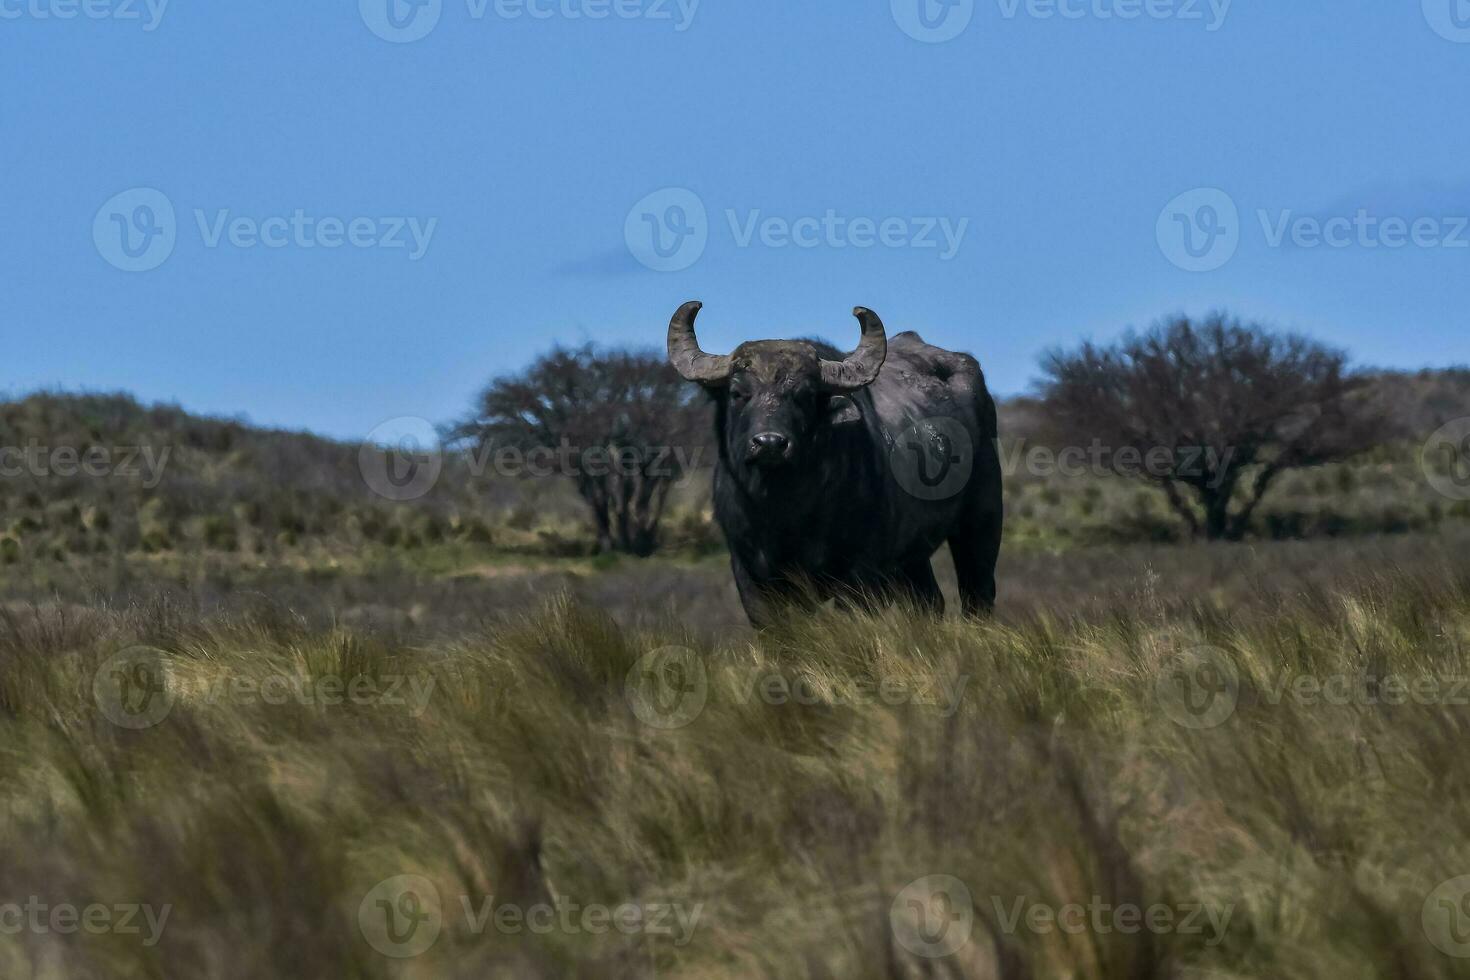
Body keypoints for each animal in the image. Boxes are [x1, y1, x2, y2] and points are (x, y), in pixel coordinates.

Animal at [673, 301, 1005, 628]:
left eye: (804, 395)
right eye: (738, 393)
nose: (769, 443)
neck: (781, 512)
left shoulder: (859, 576)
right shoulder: (751, 576)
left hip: (982, 520)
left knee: (978, 592)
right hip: (912, 557)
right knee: (929, 602)